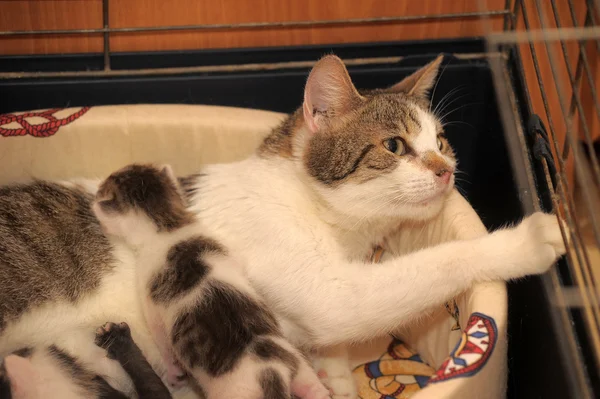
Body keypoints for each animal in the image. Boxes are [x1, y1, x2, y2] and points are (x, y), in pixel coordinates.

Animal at [91, 163, 330, 399]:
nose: (95, 195)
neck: (167, 224)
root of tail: (273, 372)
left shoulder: (152, 306)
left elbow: (163, 344)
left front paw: (173, 373)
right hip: (299, 367)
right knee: (314, 388)